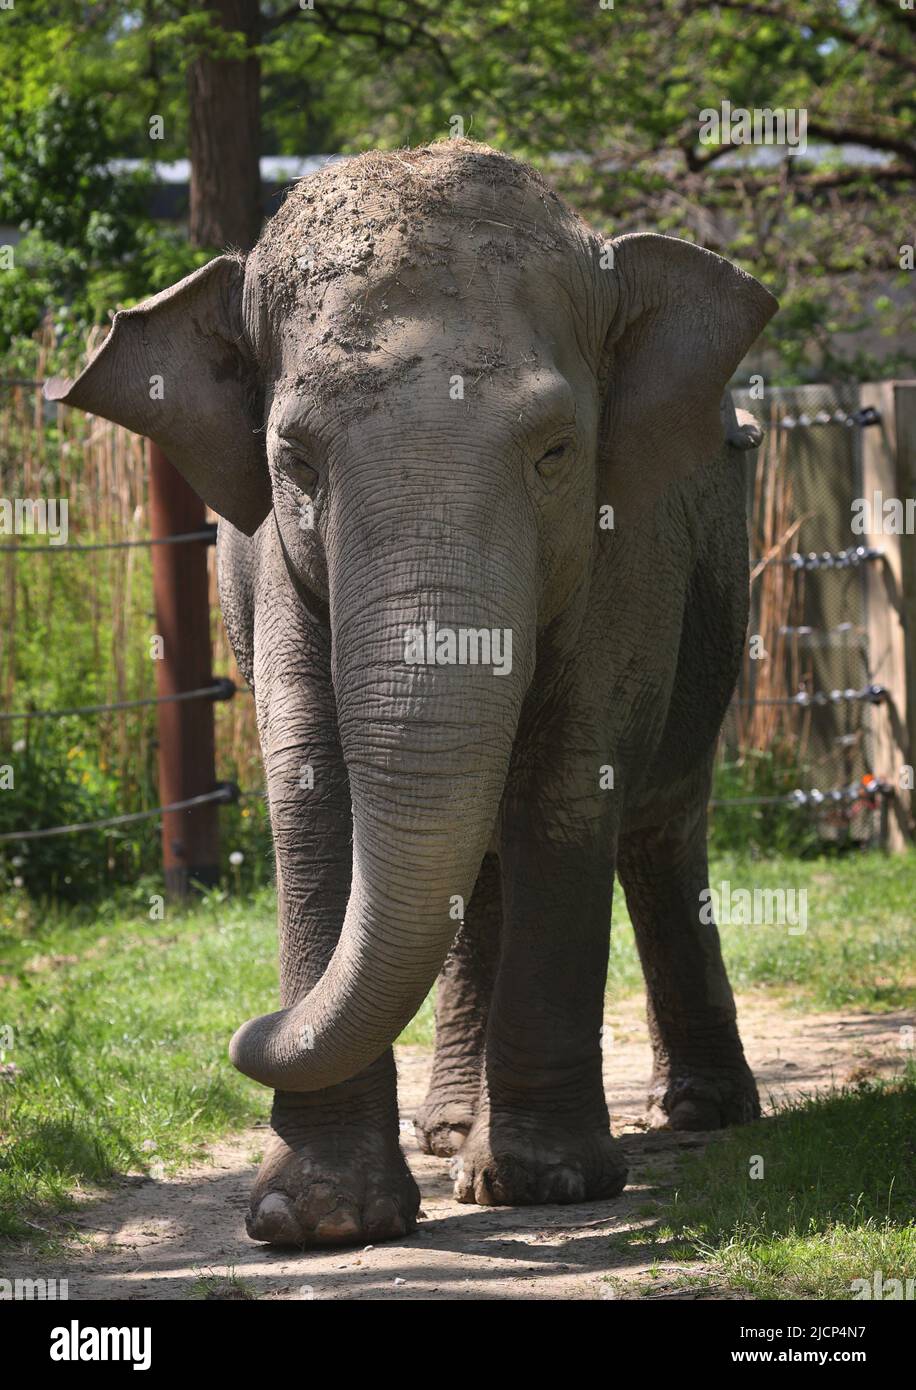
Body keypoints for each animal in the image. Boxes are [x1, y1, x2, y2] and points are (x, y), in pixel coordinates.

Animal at [48, 138, 772, 1251]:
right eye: (294, 460)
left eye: (556, 452)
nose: (246, 1029)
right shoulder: (269, 564)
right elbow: (311, 788)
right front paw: (313, 1219)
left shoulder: (628, 538)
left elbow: (567, 786)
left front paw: (545, 1185)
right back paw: (448, 1131)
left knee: (658, 830)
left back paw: (701, 1112)